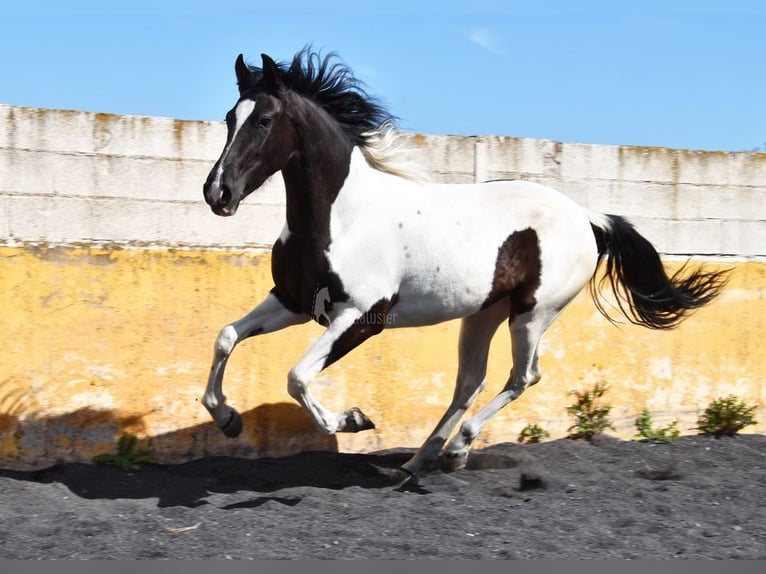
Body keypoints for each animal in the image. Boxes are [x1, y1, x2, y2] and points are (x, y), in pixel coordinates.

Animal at [201, 48, 729, 480]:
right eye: (229, 118)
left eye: (264, 120)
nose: (217, 193)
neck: (342, 217)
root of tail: (587, 218)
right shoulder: (292, 301)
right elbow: (226, 336)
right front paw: (228, 420)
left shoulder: (363, 317)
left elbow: (297, 376)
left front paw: (352, 420)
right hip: (483, 314)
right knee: (469, 383)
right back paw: (418, 461)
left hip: (533, 313)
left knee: (522, 377)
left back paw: (456, 452)